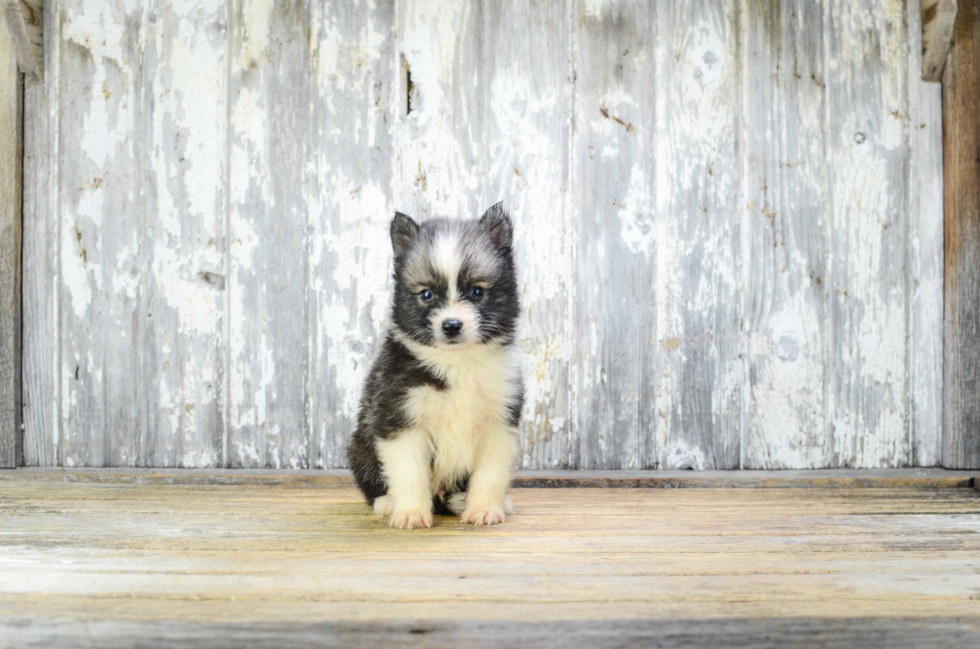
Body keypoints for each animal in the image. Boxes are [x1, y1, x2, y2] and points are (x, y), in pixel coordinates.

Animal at [348, 202, 524, 528]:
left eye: (476, 292)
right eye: (427, 294)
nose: (451, 325)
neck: (456, 362)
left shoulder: (498, 422)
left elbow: (490, 474)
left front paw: (484, 509)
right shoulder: (400, 420)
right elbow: (409, 473)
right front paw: (410, 513)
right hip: (358, 446)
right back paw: (386, 502)